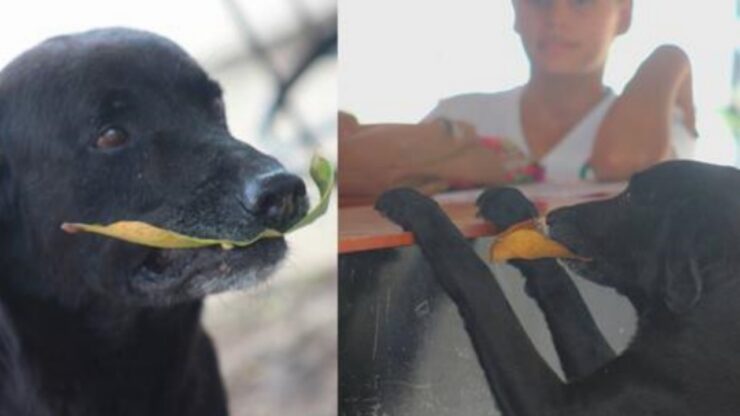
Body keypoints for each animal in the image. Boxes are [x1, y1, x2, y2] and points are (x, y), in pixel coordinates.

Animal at [378, 161, 740, 416]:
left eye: (630, 197)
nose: (554, 215)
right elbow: (565, 294)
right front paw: (515, 209)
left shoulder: (553, 404)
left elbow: (478, 279)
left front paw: (422, 210)